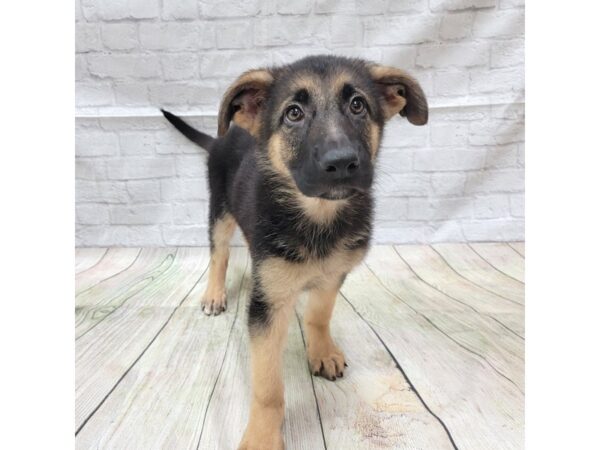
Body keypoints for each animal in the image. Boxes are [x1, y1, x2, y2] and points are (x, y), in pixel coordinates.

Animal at [162, 55, 428, 450]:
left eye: (358, 105)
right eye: (293, 113)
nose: (342, 163)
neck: (318, 216)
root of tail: (226, 134)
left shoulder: (334, 274)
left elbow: (319, 313)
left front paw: (322, 351)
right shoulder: (267, 305)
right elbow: (268, 386)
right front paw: (262, 436)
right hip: (220, 210)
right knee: (219, 253)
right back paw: (214, 293)